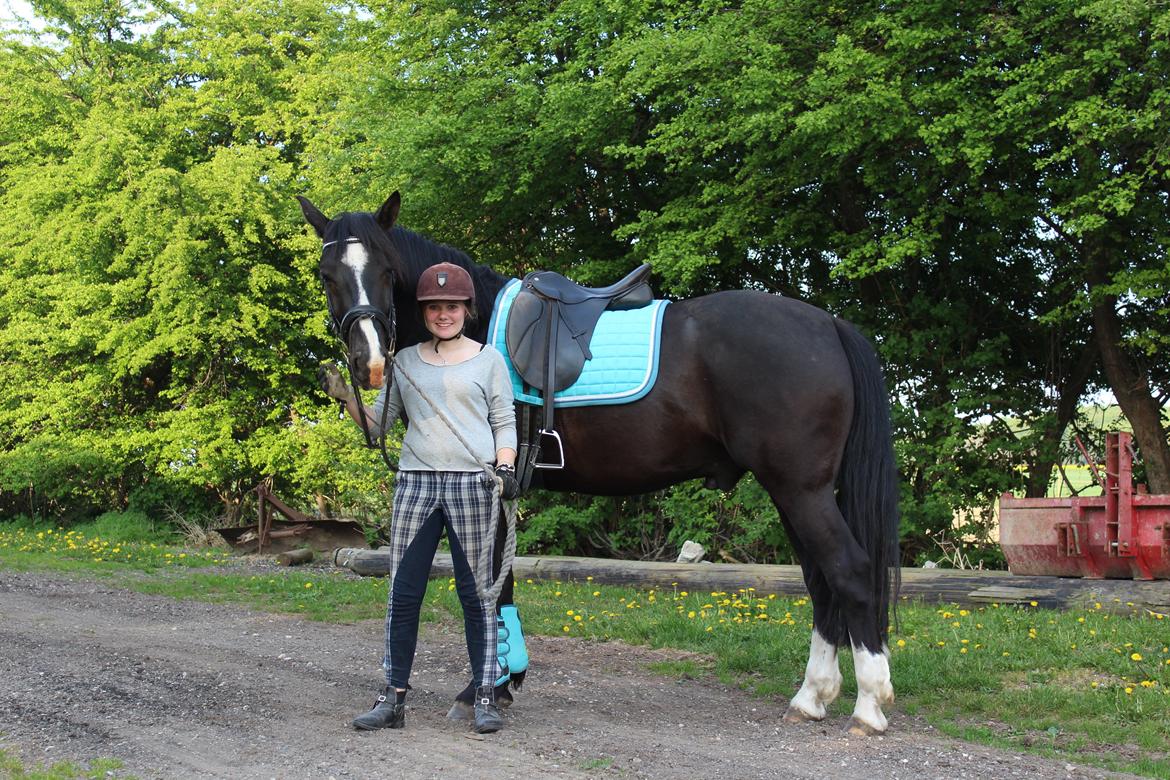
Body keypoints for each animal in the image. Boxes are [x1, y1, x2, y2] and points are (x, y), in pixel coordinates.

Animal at [297, 191, 898, 734]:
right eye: (327, 274)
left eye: (385, 269)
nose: (369, 362)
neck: (473, 327)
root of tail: (829, 326)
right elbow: (502, 584)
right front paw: (502, 683)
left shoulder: (492, 487)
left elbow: (490, 587)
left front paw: (484, 689)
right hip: (793, 491)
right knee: (820, 580)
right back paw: (812, 697)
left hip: (801, 489)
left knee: (849, 570)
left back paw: (869, 705)